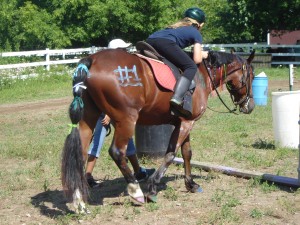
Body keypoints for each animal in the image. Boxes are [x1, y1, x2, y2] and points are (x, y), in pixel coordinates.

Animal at [61, 48, 255, 213]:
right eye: (251, 76)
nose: (250, 105)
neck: (202, 74)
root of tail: (91, 60)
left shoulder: (184, 122)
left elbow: (187, 153)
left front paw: (190, 184)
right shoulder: (186, 123)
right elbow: (170, 154)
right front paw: (153, 187)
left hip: (89, 118)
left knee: (81, 154)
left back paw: (79, 201)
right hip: (126, 121)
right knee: (117, 152)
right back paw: (136, 192)